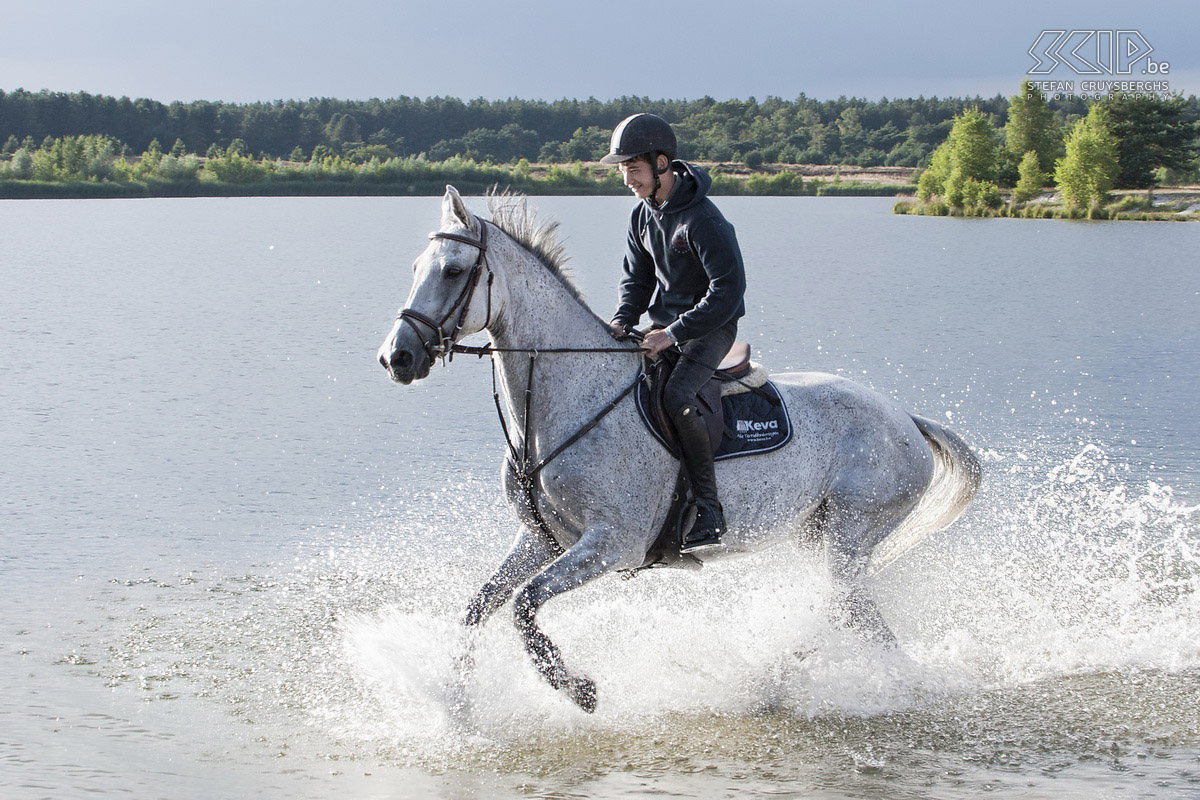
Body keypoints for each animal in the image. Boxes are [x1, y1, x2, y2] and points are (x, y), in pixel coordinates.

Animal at [379, 188, 979, 714]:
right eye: (416, 268)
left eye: (452, 271)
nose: (397, 357)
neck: (569, 396)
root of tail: (905, 419)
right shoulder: (543, 539)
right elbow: (479, 608)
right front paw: (456, 708)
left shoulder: (611, 544)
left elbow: (524, 607)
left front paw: (578, 691)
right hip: (820, 536)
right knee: (845, 614)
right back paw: (779, 683)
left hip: (851, 535)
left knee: (846, 612)